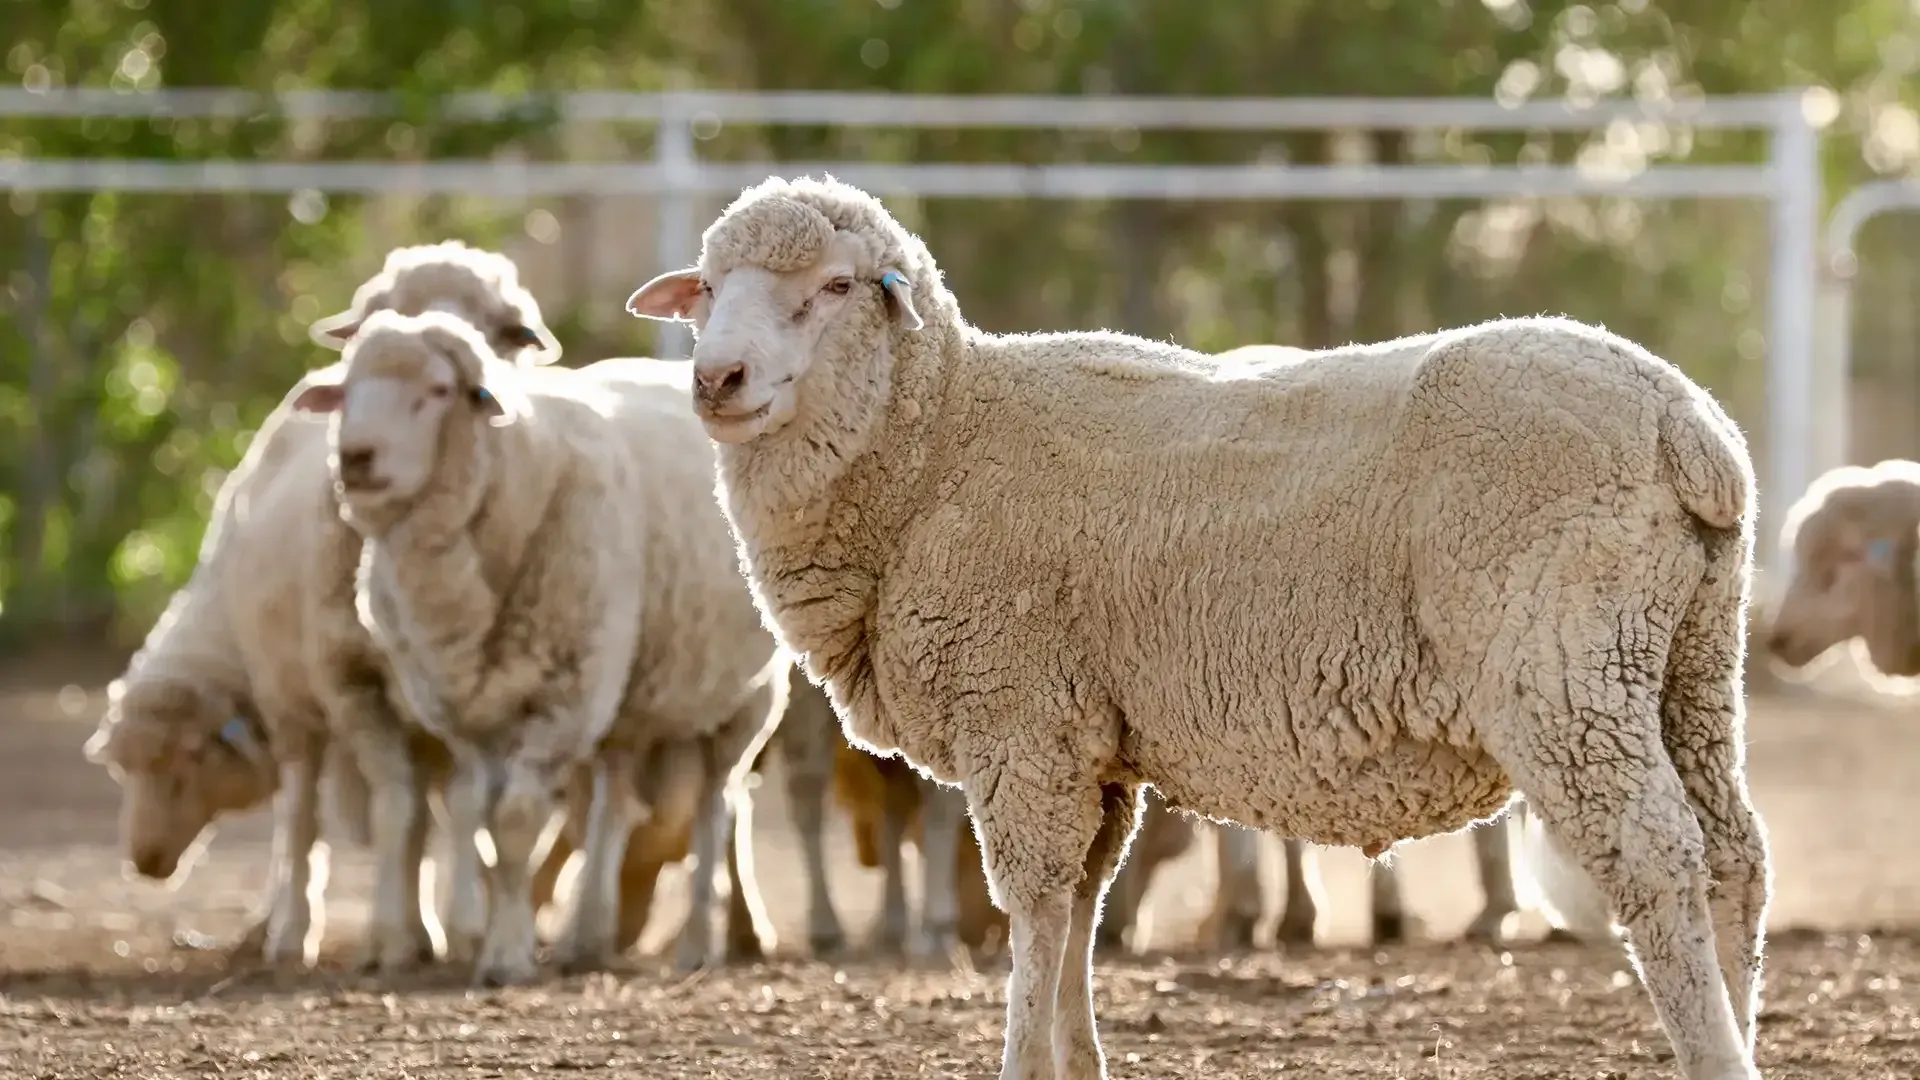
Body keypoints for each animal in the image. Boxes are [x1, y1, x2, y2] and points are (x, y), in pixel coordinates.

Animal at [288, 308, 788, 985]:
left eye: (438, 391)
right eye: (345, 392)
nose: (355, 458)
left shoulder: (562, 698)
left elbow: (516, 821)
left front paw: (504, 958)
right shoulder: (470, 715)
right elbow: (483, 824)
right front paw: (506, 937)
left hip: (746, 699)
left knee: (717, 806)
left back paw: (697, 944)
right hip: (625, 691)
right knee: (614, 799)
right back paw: (588, 936)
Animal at [625, 175, 1771, 1080]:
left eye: (833, 288)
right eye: (707, 293)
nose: (715, 379)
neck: (940, 445)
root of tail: (1685, 422)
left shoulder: (1021, 721)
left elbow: (1035, 905)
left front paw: (1022, 1059)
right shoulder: (1091, 743)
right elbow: (1082, 906)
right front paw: (1075, 1061)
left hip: (1560, 662)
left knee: (1656, 854)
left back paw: (1714, 1052)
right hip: (1687, 661)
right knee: (1734, 857)